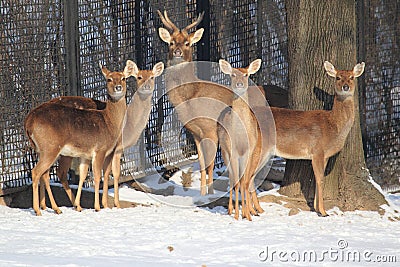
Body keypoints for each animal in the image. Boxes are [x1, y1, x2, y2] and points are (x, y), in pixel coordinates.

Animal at [158, 10, 268, 197]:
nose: (178, 52)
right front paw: (202, 192)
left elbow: (209, 164)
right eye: (171, 42)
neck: (190, 97)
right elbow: (202, 164)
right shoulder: (196, 133)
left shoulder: (210, 129)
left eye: (187, 43)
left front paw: (209, 193)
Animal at [216, 59, 276, 221]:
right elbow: (238, 182)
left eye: (246, 74)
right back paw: (231, 209)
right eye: (232, 74)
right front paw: (238, 214)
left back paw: (252, 210)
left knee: (246, 180)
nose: (239, 84)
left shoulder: (249, 152)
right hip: (225, 152)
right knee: (232, 179)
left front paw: (247, 213)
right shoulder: (233, 152)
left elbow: (244, 181)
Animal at [272, 61, 366, 218]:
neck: (333, 125)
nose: (345, 87)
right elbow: (321, 179)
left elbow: (318, 179)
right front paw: (323, 211)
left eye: (352, 77)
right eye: (338, 77)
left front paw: (317, 209)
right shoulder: (317, 150)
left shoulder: (325, 155)